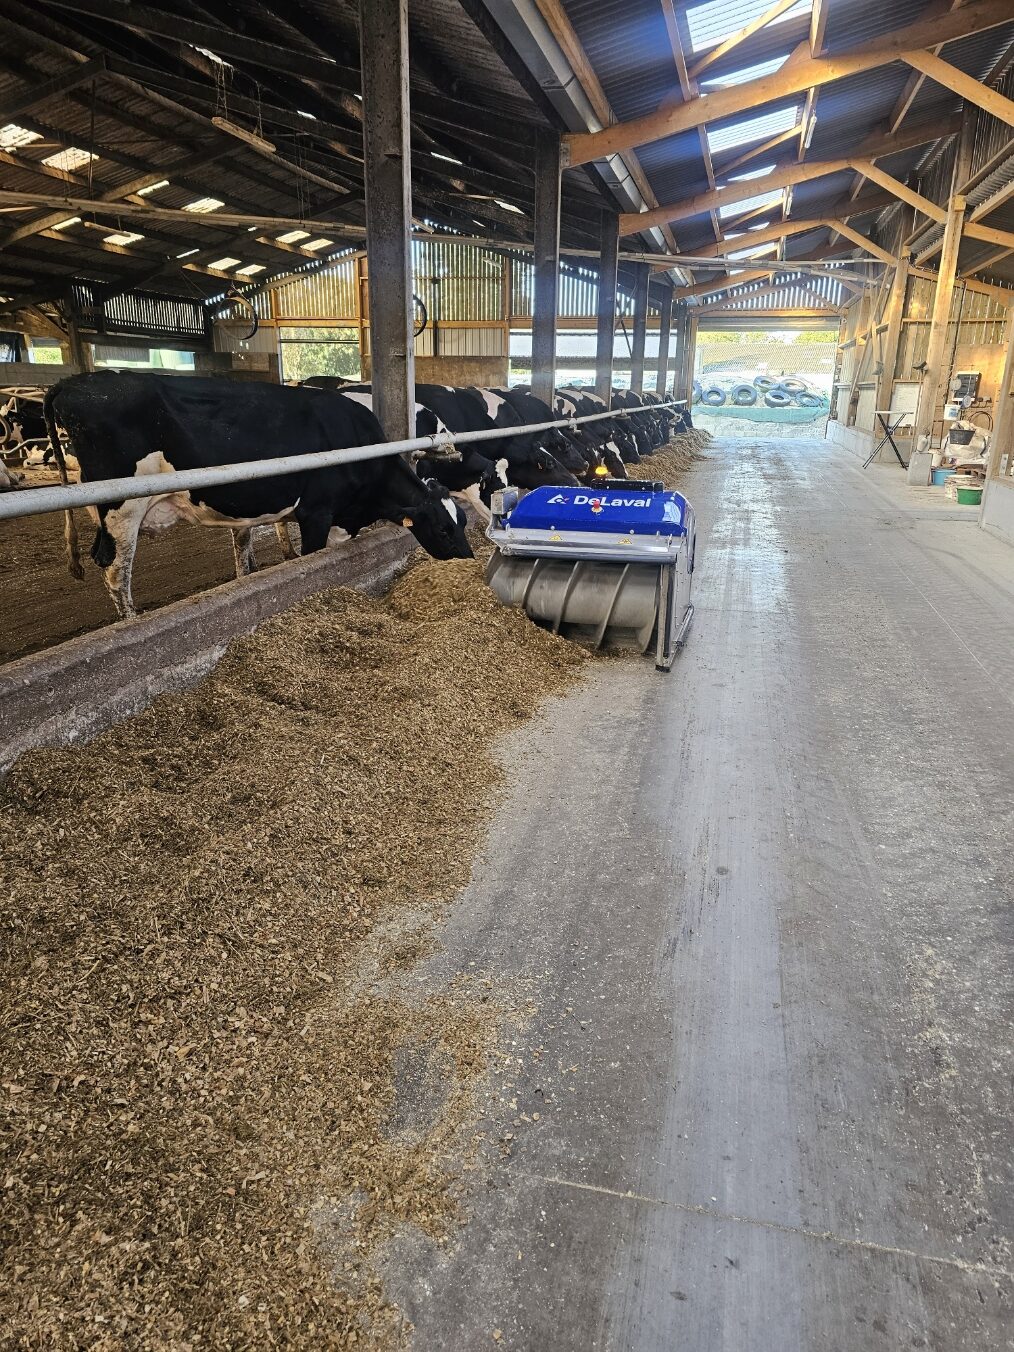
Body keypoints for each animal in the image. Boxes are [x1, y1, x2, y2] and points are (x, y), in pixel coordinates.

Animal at [45, 373, 475, 619]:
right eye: (442, 529)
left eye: (463, 522)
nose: (470, 563)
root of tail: (75, 381)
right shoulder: (317, 514)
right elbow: (313, 560)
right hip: (122, 506)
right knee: (116, 569)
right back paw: (131, 620)